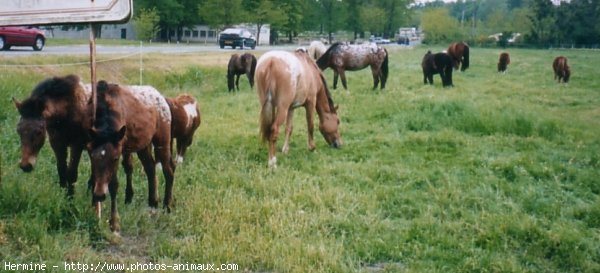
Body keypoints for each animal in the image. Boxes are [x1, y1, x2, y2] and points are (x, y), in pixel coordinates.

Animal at [88, 80, 176, 232]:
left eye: (114, 158)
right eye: (93, 157)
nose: (100, 194)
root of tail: (162, 99)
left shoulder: (120, 151)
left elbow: (114, 185)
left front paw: (114, 222)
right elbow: (95, 178)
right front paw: (95, 210)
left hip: (162, 141)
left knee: (168, 171)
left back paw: (167, 205)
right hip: (143, 146)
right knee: (150, 168)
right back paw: (153, 202)